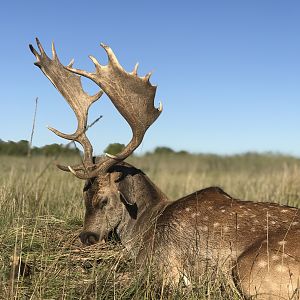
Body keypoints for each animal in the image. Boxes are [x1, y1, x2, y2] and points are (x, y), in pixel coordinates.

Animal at [30, 38, 300, 298]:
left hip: (255, 269)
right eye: (83, 195)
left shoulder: (160, 264)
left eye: (104, 199)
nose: (87, 237)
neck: (145, 224)